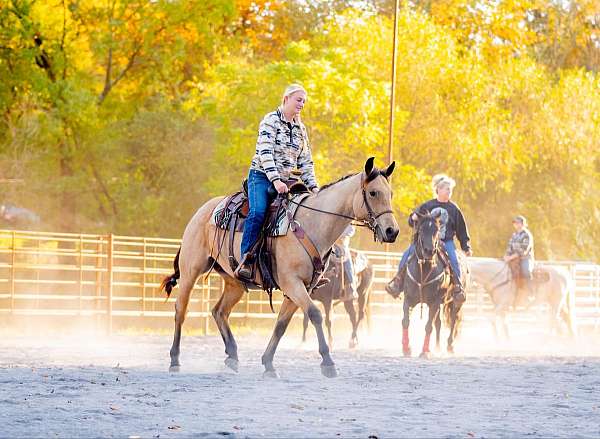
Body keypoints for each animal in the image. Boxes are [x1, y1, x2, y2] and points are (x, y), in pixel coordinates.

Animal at [159, 158, 398, 378]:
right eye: (374, 193)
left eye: (391, 193)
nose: (392, 231)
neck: (311, 224)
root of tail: (203, 212)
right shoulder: (292, 283)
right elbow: (315, 314)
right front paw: (328, 362)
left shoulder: (302, 288)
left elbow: (282, 324)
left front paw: (268, 364)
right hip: (191, 271)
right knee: (181, 310)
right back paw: (175, 360)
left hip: (234, 281)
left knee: (219, 311)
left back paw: (233, 356)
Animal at [386, 211, 466, 360]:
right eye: (422, 229)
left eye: (436, 230)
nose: (429, 251)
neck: (424, 269)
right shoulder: (409, 299)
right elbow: (405, 321)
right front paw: (407, 348)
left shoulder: (434, 302)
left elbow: (428, 326)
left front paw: (424, 352)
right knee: (438, 323)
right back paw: (437, 347)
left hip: (455, 302)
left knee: (453, 321)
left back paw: (449, 346)